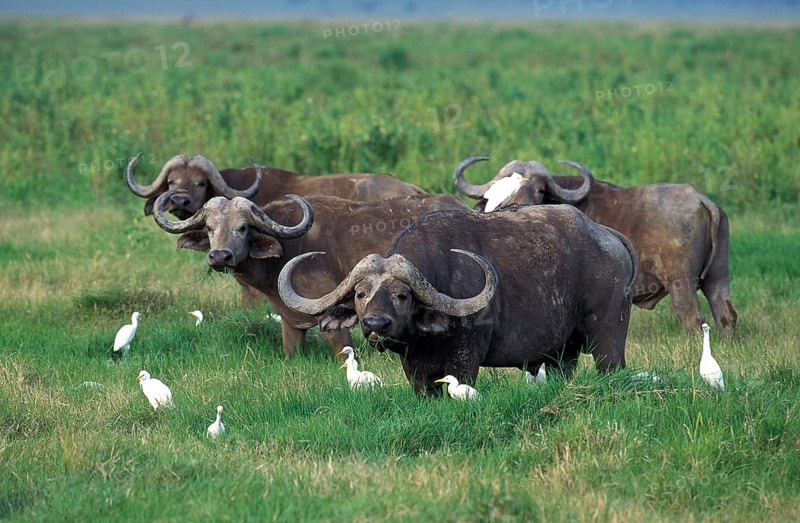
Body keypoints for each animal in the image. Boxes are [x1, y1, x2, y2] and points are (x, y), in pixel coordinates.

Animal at [151, 189, 468, 359]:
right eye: (209, 228)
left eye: (242, 228)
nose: (219, 256)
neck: (290, 250)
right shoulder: (290, 325)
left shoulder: (335, 324)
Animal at [277, 205, 638, 396]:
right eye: (360, 294)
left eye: (402, 295)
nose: (375, 324)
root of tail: (606, 235)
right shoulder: (415, 368)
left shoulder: (466, 359)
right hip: (563, 352)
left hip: (608, 340)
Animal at [454, 156, 737, 338]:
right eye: (510, 190)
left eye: (540, 190)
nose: (522, 205)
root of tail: (700, 198)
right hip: (718, 277)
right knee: (726, 314)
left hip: (681, 283)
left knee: (693, 319)